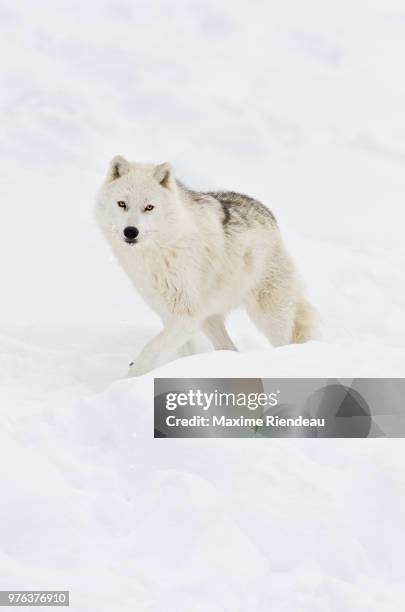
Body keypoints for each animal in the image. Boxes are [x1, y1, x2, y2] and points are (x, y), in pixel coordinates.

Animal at [95, 155, 318, 376]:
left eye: (149, 207)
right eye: (122, 204)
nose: (130, 231)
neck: (161, 251)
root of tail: (268, 214)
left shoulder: (186, 315)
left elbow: (151, 348)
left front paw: (131, 378)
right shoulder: (170, 314)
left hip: (269, 316)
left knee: (284, 343)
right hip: (210, 320)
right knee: (230, 348)